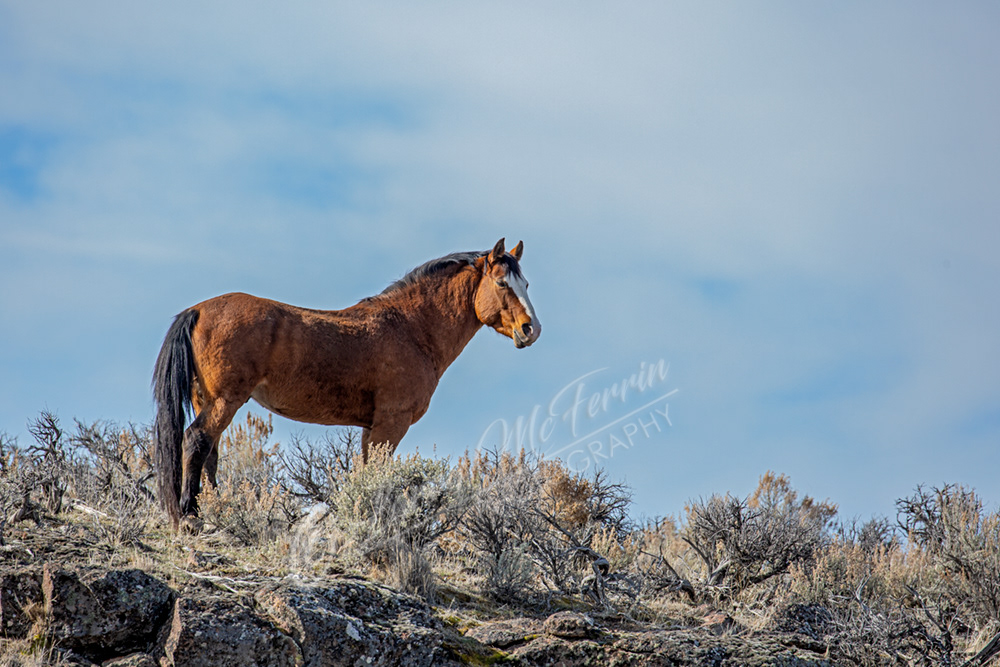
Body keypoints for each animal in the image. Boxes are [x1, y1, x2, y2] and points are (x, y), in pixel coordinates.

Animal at [151, 237, 540, 528]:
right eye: (502, 283)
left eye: (526, 284)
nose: (530, 329)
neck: (411, 329)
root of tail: (198, 310)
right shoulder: (391, 423)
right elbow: (377, 475)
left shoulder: (372, 427)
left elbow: (366, 472)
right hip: (225, 400)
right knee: (197, 440)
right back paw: (190, 516)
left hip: (207, 399)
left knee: (210, 452)